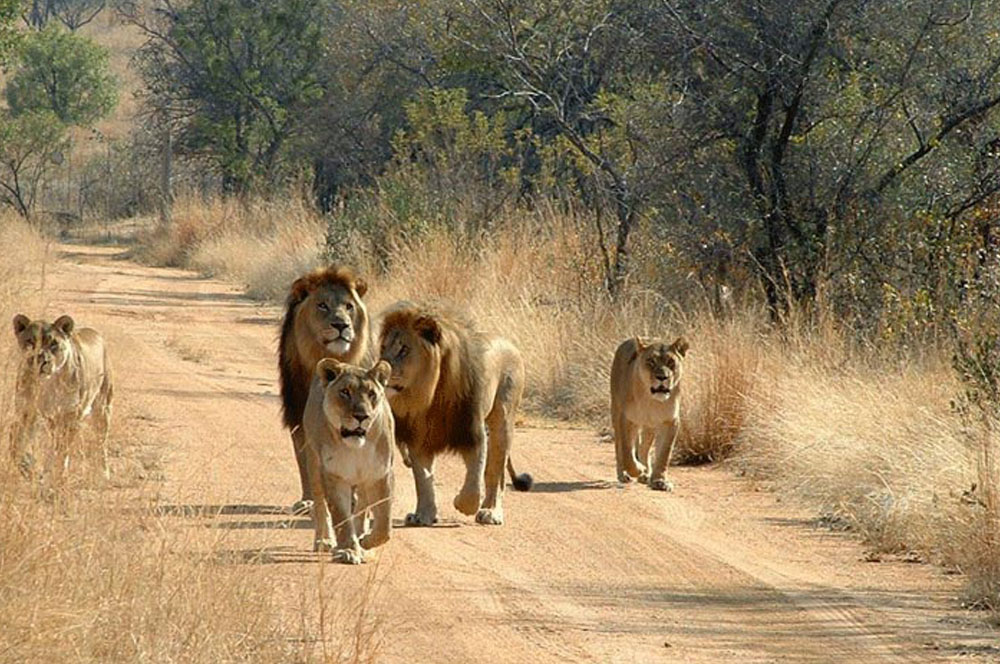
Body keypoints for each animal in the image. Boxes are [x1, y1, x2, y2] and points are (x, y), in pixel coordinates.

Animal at [10, 314, 113, 474]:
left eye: (54, 344)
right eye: (30, 341)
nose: (41, 360)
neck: (47, 383)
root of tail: (95, 333)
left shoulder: (70, 415)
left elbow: (63, 451)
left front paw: (58, 475)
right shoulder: (26, 411)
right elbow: (17, 442)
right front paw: (21, 467)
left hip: (103, 407)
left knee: (101, 442)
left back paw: (104, 472)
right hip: (53, 420)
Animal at [280, 264, 370, 512]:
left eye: (348, 306)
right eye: (322, 305)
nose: (341, 325)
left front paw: (353, 500)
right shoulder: (298, 412)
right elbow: (304, 459)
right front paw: (309, 500)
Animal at [302, 358, 396, 564]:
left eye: (372, 394)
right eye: (345, 392)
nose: (362, 416)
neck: (356, 447)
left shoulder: (380, 475)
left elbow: (384, 525)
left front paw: (365, 542)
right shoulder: (334, 475)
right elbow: (341, 517)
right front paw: (348, 550)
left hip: (363, 481)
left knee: (362, 505)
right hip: (313, 464)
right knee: (321, 506)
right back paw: (324, 541)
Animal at [376, 302, 532, 528]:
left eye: (404, 349)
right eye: (383, 348)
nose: (379, 369)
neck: (430, 395)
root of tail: (509, 344)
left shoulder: (472, 431)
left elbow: (475, 478)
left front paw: (463, 504)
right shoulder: (419, 438)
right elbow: (423, 479)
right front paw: (423, 515)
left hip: (503, 419)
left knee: (496, 472)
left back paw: (491, 511)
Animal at [608, 334, 688, 490]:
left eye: (671, 362)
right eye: (651, 361)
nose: (662, 377)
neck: (651, 400)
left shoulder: (670, 421)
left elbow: (664, 453)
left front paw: (659, 481)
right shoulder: (626, 419)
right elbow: (627, 452)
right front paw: (638, 470)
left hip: (649, 426)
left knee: (643, 447)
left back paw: (645, 475)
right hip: (616, 411)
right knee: (619, 446)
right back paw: (624, 475)